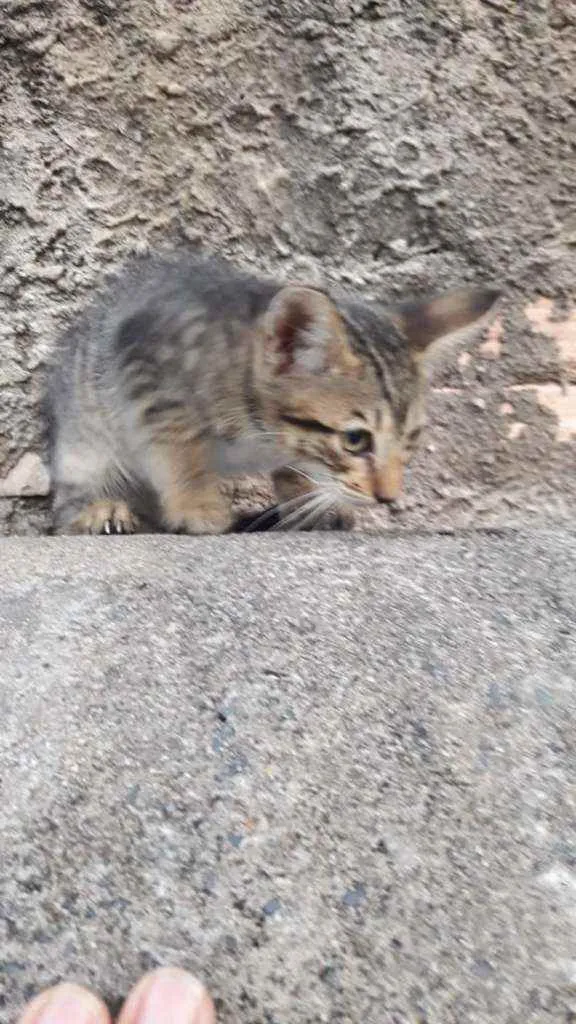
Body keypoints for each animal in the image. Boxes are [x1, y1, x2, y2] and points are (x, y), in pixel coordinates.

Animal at [45, 249, 498, 536]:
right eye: (356, 440)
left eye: (411, 439)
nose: (388, 498)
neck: (260, 430)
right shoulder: (146, 370)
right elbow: (180, 448)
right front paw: (197, 505)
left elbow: (298, 469)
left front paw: (311, 501)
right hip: (86, 443)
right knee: (64, 507)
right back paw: (99, 510)